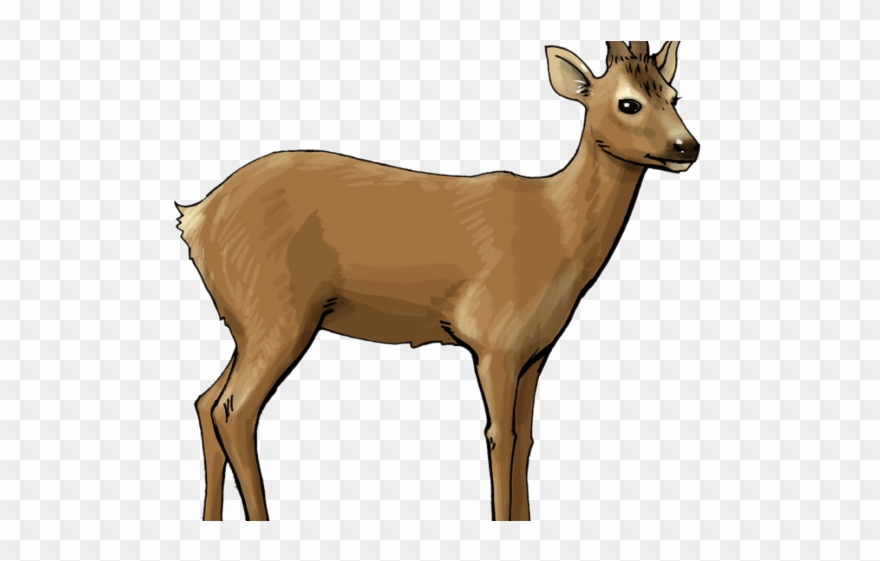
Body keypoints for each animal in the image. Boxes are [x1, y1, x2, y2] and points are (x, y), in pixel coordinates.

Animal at [177, 40, 699, 522]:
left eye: (673, 94)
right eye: (628, 102)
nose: (687, 147)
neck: (556, 231)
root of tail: (195, 219)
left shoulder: (535, 350)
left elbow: (527, 438)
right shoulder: (493, 341)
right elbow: (501, 437)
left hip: (247, 320)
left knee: (207, 401)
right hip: (276, 312)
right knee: (235, 410)